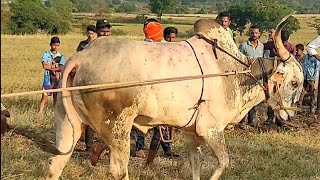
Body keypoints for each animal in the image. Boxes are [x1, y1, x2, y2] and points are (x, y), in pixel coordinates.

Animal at [45, 14, 302, 180]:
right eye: (294, 82)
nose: (289, 115)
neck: (236, 72)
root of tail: (82, 57)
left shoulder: (191, 133)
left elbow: (196, 165)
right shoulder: (211, 129)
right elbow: (223, 163)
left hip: (68, 124)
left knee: (55, 165)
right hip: (118, 127)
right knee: (118, 170)